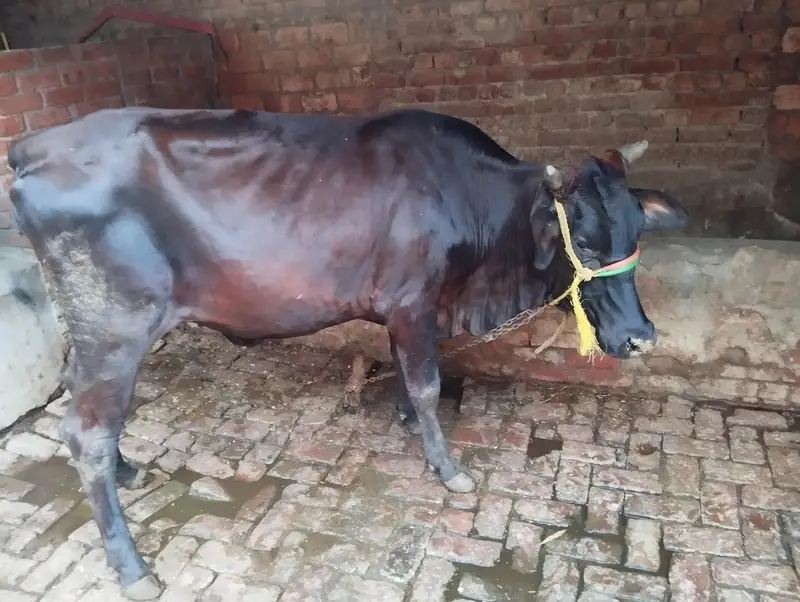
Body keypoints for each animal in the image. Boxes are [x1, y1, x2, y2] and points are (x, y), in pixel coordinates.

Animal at [8, 106, 689, 599]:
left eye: (635, 229)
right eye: (588, 243)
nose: (640, 336)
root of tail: (34, 147)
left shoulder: (401, 309)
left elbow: (407, 378)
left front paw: (409, 425)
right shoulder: (414, 302)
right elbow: (427, 383)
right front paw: (448, 467)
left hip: (91, 334)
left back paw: (127, 472)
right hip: (115, 328)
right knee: (87, 432)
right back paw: (132, 568)